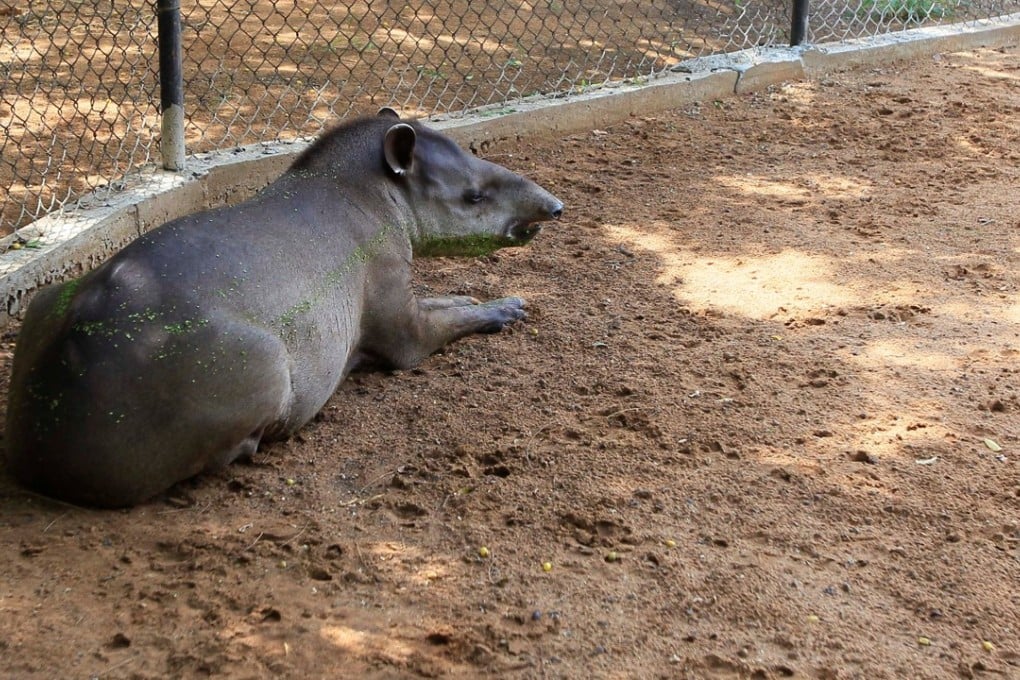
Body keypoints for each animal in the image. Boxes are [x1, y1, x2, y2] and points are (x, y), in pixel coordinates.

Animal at [4, 108, 563, 507]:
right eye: (474, 195)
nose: (554, 206)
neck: (372, 191)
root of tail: (40, 451)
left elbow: (445, 303)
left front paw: (469, 295)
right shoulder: (387, 289)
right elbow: (423, 334)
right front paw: (507, 307)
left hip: (48, 300)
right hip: (251, 362)